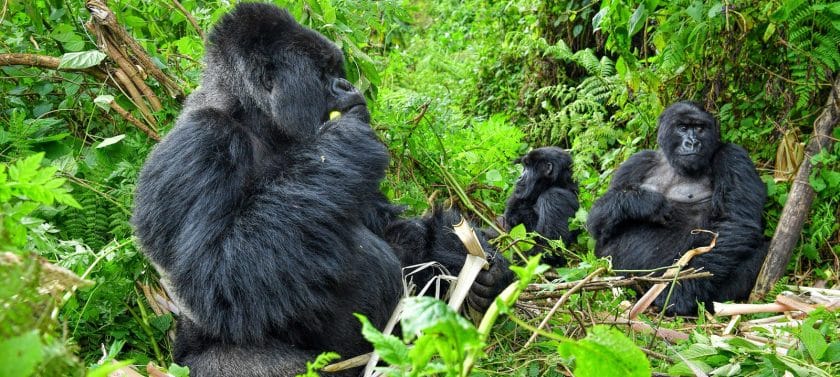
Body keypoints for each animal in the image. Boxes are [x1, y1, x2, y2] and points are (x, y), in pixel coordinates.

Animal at [132, 3, 512, 376]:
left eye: (336, 70)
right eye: (323, 73)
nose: (347, 84)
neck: (258, 119)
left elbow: (394, 229)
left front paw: (471, 259)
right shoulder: (203, 142)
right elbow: (219, 275)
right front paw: (344, 140)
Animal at [584, 100, 768, 314]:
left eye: (699, 128)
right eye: (682, 128)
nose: (693, 143)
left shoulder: (734, 156)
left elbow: (736, 222)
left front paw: (680, 291)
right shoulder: (637, 161)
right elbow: (598, 223)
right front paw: (644, 203)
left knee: (760, 249)